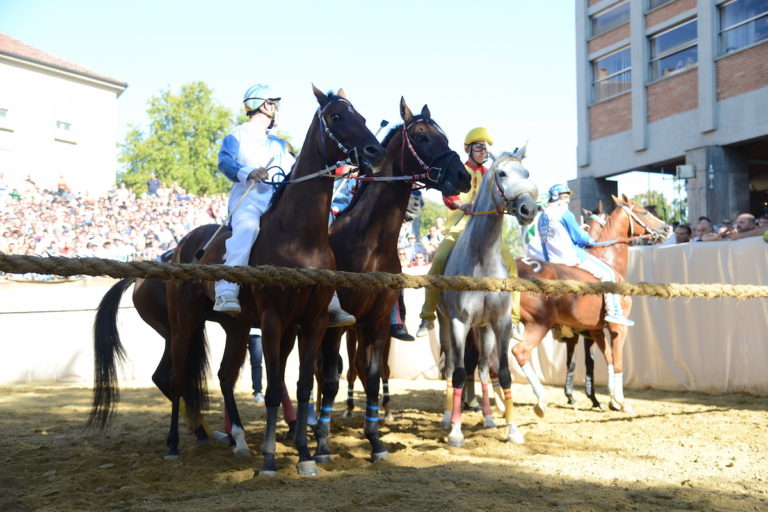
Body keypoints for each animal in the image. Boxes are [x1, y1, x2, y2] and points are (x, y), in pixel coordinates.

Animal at [165, 85, 388, 476]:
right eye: (337, 117)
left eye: (360, 115)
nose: (375, 152)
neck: (300, 238)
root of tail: (183, 246)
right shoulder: (274, 321)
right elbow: (272, 389)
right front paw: (270, 459)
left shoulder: (313, 322)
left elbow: (302, 387)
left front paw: (305, 455)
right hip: (185, 320)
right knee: (178, 379)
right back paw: (175, 444)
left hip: (236, 326)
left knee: (225, 376)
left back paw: (239, 441)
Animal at [314, 98, 474, 462]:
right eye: (422, 136)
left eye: (444, 136)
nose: (463, 175)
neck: (369, 242)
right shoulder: (335, 326)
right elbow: (330, 377)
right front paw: (322, 444)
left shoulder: (374, 322)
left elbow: (372, 375)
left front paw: (374, 440)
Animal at [436, 147, 536, 444]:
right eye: (501, 173)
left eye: (526, 173)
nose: (529, 209)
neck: (481, 260)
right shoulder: (459, 322)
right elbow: (458, 374)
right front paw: (456, 431)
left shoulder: (500, 323)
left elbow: (503, 374)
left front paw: (513, 429)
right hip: (445, 324)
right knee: (451, 367)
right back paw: (448, 416)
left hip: (484, 329)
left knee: (481, 368)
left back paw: (489, 418)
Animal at [512, 196, 668, 416]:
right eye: (643, 211)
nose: (667, 228)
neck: (608, 261)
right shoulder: (617, 327)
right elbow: (616, 361)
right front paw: (620, 401)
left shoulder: (595, 330)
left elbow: (607, 358)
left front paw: (611, 400)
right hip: (538, 323)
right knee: (520, 352)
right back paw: (540, 400)